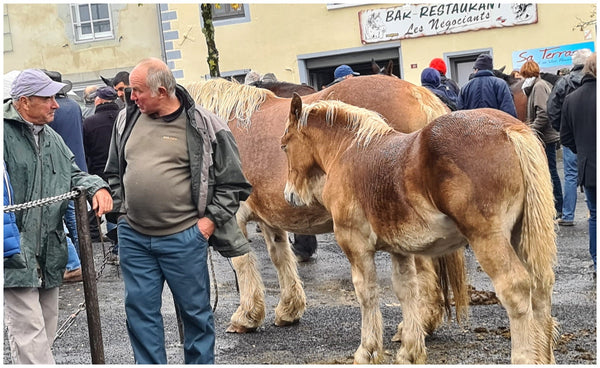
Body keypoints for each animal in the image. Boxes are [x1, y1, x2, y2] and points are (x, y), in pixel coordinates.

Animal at [185, 76, 466, 338]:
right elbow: (280, 257)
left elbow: (242, 262)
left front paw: (246, 317)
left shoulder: (233, 217)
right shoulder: (269, 219)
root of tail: (421, 96)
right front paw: (289, 309)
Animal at [282, 93, 556, 364]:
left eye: (284, 145)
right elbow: (407, 291)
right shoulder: (400, 250)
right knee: (541, 289)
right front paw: (410, 351)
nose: (289, 195)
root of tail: (510, 129)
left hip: (489, 239)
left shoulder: (355, 245)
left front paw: (367, 351)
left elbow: (367, 293)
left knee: (516, 290)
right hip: (521, 237)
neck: (349, 150)